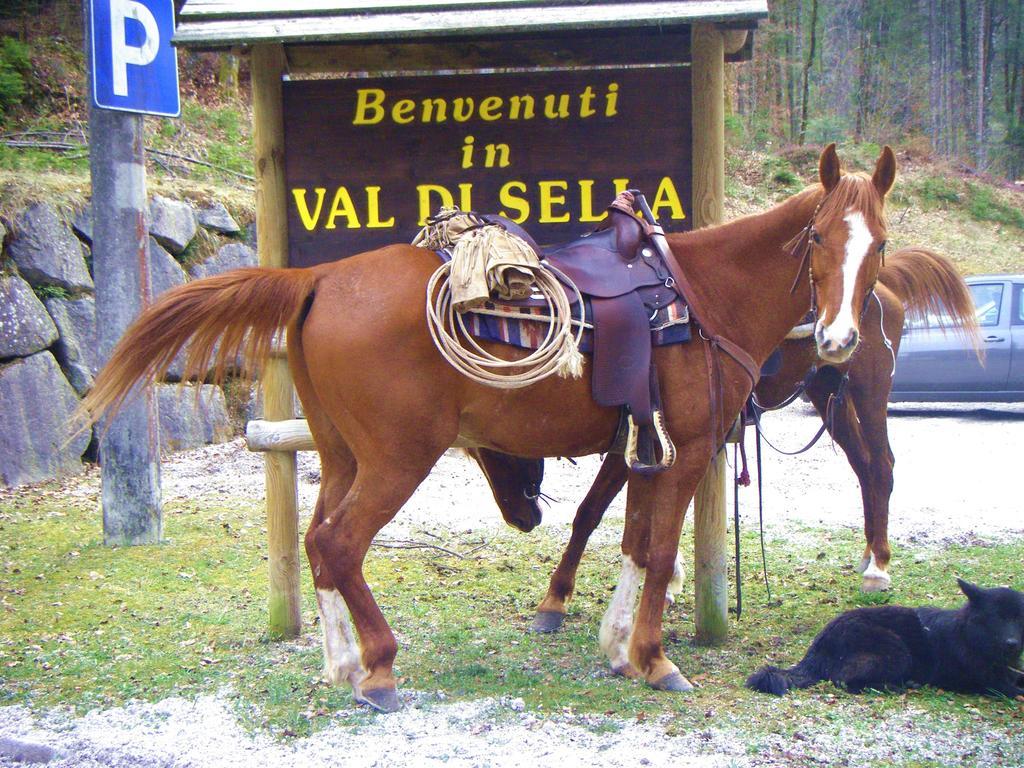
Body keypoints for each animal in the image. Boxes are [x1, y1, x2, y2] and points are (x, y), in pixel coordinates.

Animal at [745, 581, 1024, 700]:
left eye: (1019, 619)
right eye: (997, 618)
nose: (1013, 644)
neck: (971, 638)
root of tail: (819, 644)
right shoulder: (993, 683)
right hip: (897, 650)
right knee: (843, 679)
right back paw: (895, 686)